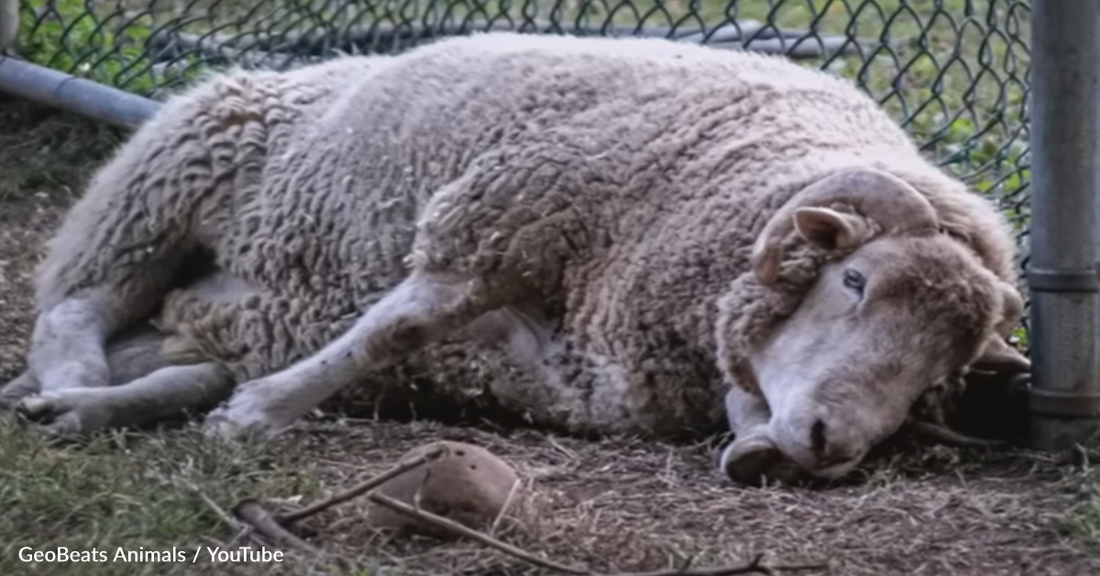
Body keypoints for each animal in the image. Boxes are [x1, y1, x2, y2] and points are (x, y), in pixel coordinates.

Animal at [4, 30, 1025, 481]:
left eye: (940, 372)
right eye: (854, 280)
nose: (827, 444)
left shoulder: (554, 364)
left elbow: (407, 337)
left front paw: (754, 442)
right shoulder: (497, 219)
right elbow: (395, 325)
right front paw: (264, 414)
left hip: (219, 312)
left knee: (172, 360)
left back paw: (76, 403)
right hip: (162, 181)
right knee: (73, 304)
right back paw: (69, 379)